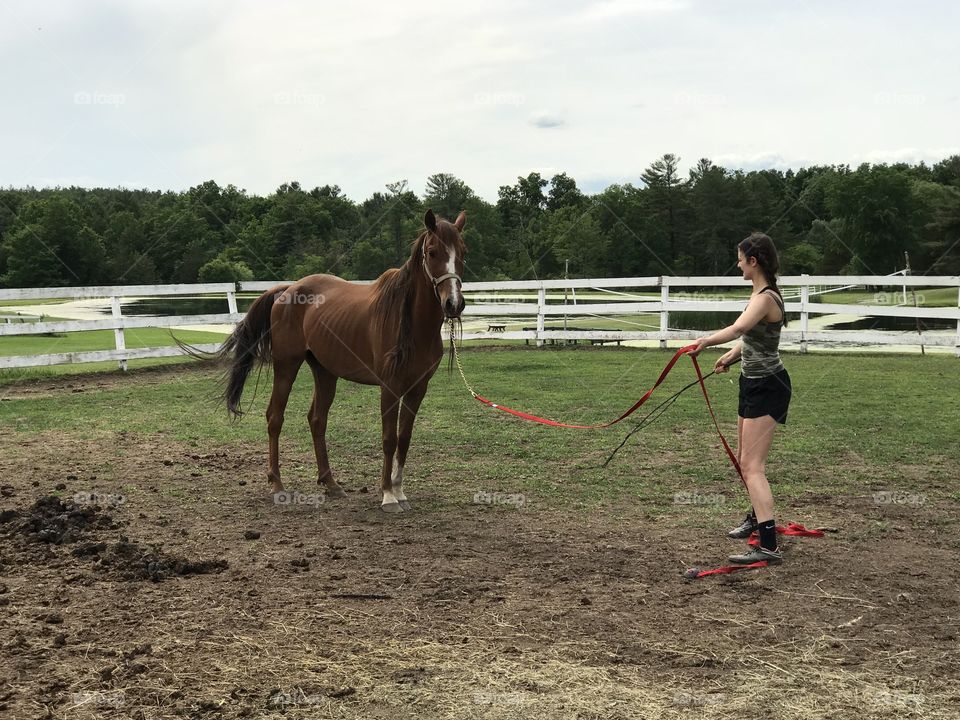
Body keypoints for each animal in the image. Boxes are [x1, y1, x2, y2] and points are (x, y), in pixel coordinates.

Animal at [217, 209, 466, 512]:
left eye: (463, 252)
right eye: (432, 252)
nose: (454, 304)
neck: (411, 325)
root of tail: (288, 289)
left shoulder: (418, 388)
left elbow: (404, 439)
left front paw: (399, 491)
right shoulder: (390, 387)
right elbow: (389, 439)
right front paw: (387, 495)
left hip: (325, 371)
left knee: (317, 420)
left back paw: (330, 483)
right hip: (286, 366)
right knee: (275, 417)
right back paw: (277, 484)